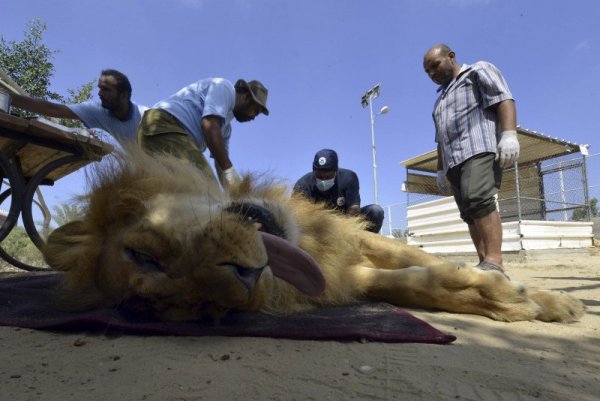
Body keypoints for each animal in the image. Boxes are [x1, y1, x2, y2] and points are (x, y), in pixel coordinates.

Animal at [43, 148, 584, 324]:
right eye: (208, 312)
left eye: (144, 254)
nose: (246, 277)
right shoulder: (338, 275)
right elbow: (418, 284)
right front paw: (513, 302)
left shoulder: (350, 237)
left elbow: (427, 264)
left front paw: (549, 301)